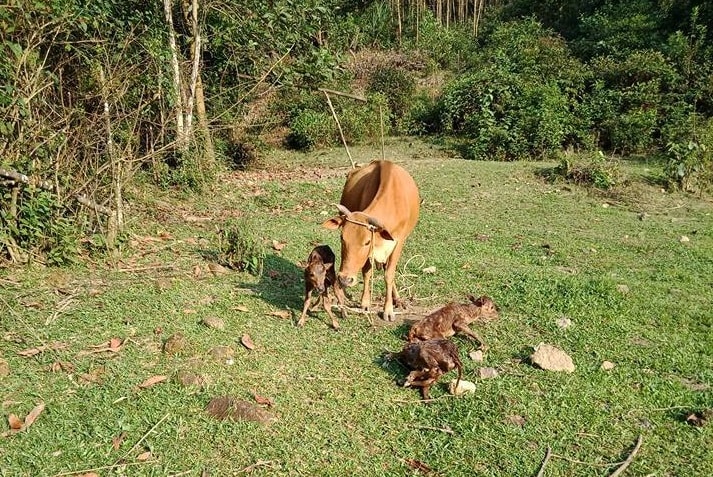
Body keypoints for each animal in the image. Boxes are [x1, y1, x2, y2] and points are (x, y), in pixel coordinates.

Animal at [322, 160, 420, 320]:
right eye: (342, 238)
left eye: (367, 242)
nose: (344, 279)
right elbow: (367, 272)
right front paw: (365, 302)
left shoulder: (398, 243)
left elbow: (389, 274)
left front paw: (388, 310)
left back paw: (398, 300)